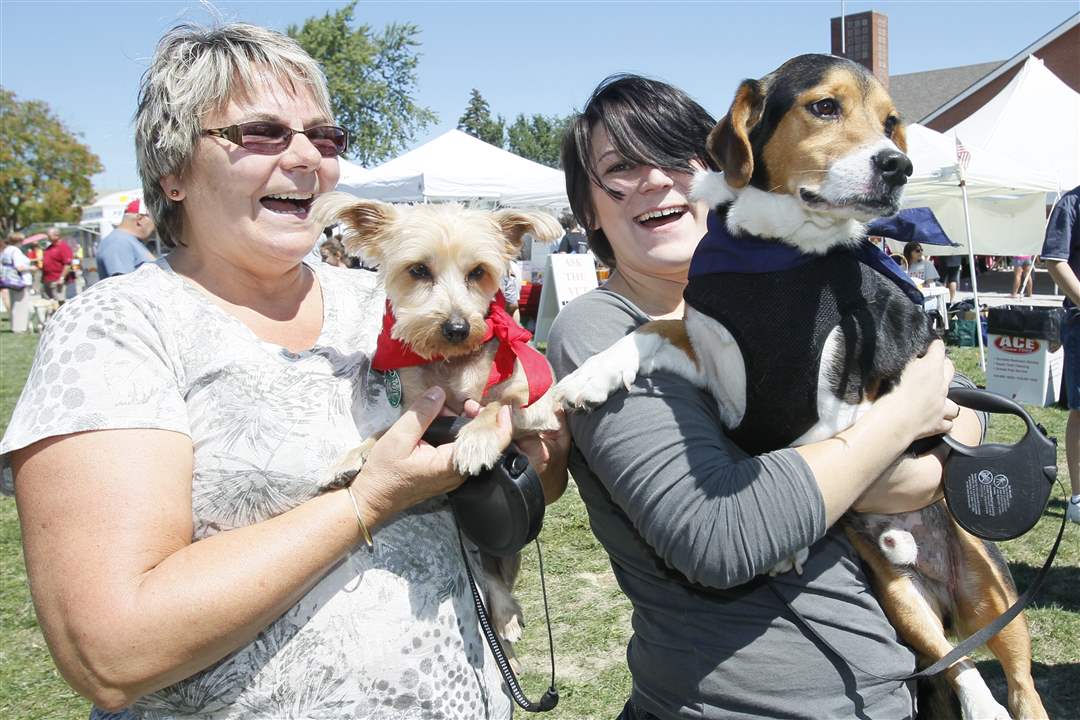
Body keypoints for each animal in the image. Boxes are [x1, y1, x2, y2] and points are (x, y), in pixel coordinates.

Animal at [315, 191, 565, 664]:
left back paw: (506, 618)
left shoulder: (539, 405)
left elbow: (496, 405)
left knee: (497, 581)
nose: (457, 327)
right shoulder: (415, 414)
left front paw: (477, 439)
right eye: (418, 270)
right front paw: (349, 458)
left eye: (478, 272)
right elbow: (380, 434)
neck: (448, 364)